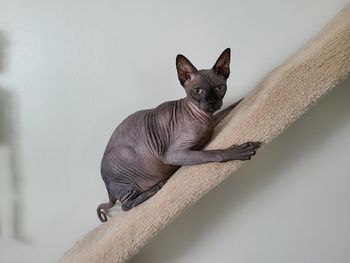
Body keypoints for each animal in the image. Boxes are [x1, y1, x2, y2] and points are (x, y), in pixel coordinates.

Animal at [97, 49, 262, 223]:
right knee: (126, 206)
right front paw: (238, 151)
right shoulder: (172, 154)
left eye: (219, 87)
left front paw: (249, 95)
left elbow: (233, 105)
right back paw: (157, 187)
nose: (212, 102)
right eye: (197, 91)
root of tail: (106, 186)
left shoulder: (214, 120)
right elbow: (214, 153)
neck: (205, 117)